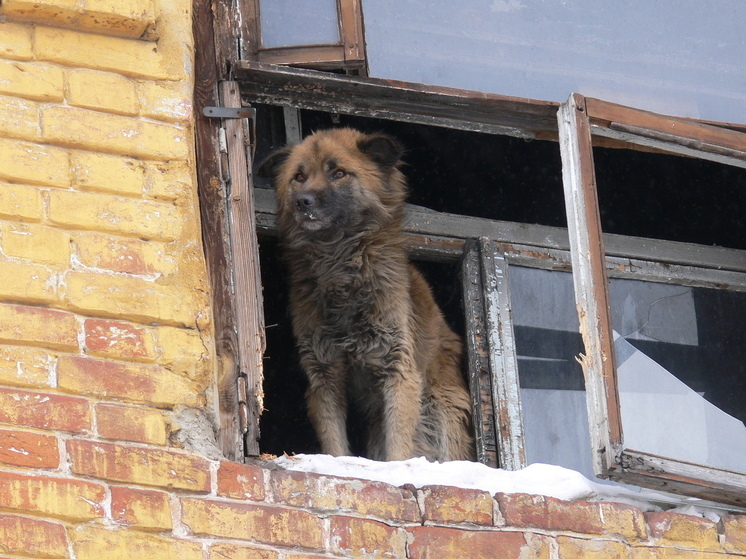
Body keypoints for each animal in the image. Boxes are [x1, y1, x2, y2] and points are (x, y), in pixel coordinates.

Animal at [258, 129, 474, 462]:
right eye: (299, 177)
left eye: (338, 173)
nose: (302, 202)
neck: (340, 264)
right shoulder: (323, 375)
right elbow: (335, 445)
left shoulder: (399, 370)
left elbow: (398, 447)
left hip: (442, 407)